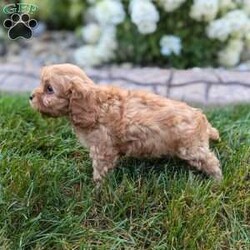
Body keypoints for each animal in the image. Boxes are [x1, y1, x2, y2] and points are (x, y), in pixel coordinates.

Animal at [30, 63, 222, 182]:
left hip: (190, 149)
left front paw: (97, 187)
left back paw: (217, 180)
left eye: (49, 89)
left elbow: (100, 168)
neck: (95, 105)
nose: (30, 97)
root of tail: (201, 118)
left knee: (211, 160)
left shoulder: (102, 149)